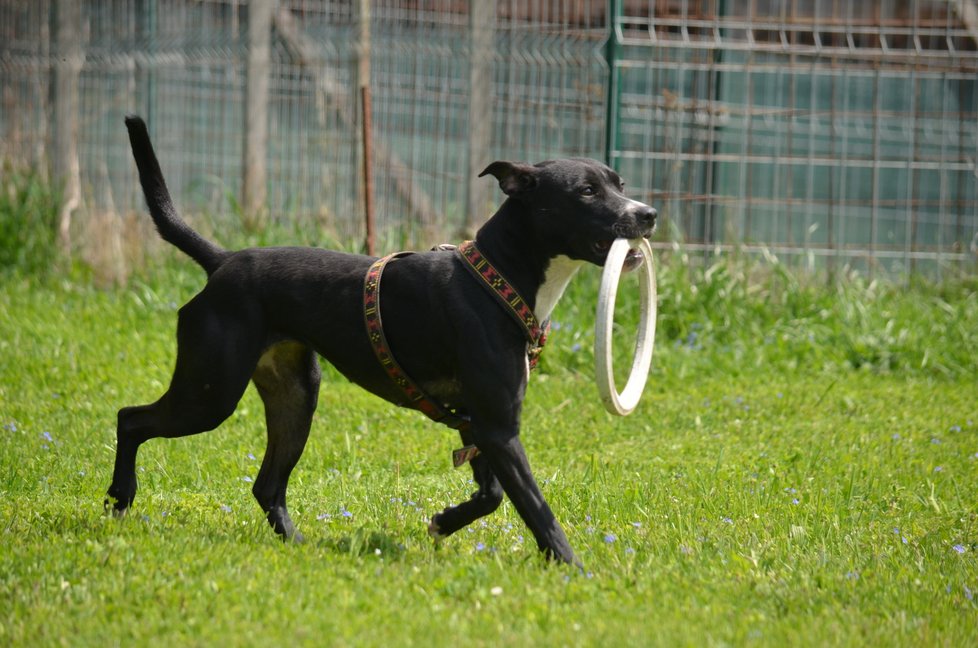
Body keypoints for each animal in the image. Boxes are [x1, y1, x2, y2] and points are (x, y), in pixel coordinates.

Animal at [108, 117, 656, 568]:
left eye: (621, 185)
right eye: (586, 191)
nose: (648, 213)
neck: (497, 277)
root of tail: (222, 262)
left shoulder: (478, 424)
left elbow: (492, 495)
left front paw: (444, 522)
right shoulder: (499, 428)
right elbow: (536, 508)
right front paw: (573, 569)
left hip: (294, 395)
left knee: (267, 485)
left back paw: (299, 545)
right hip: (211, 392)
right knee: (131, 419)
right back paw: (119, 498)